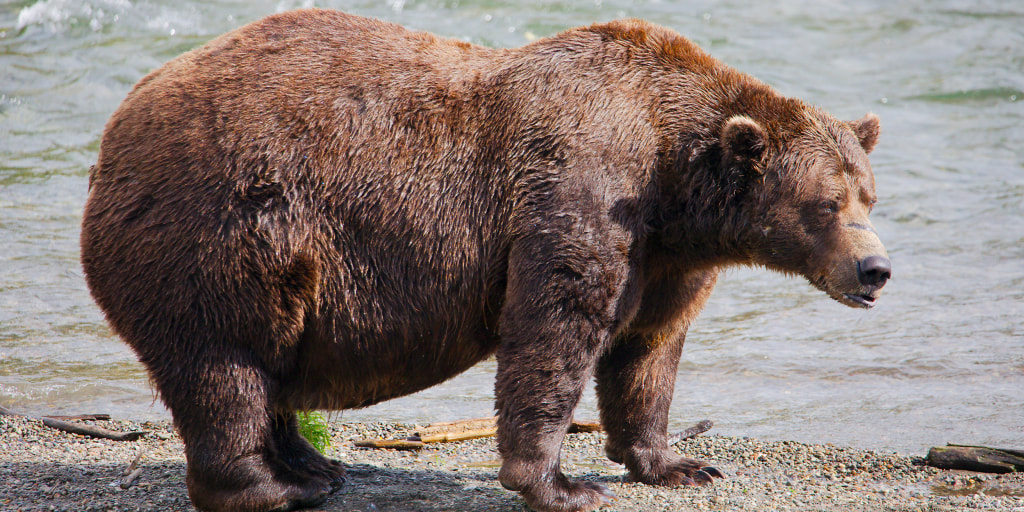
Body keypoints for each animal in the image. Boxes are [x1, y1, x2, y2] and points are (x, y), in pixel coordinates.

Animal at [80, 8, 891, 512]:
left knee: (267, 366)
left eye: (869, 195)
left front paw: (679, 463)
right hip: (223, 230)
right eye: (826, 204)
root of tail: (112, 137)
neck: (674, 180)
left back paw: (314, 464)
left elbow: (648, 351)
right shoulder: (581, 190)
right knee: (226, 366)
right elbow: (554, 329)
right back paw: (273, 486)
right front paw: (561, 485)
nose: (875, 270)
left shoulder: (666, 256)